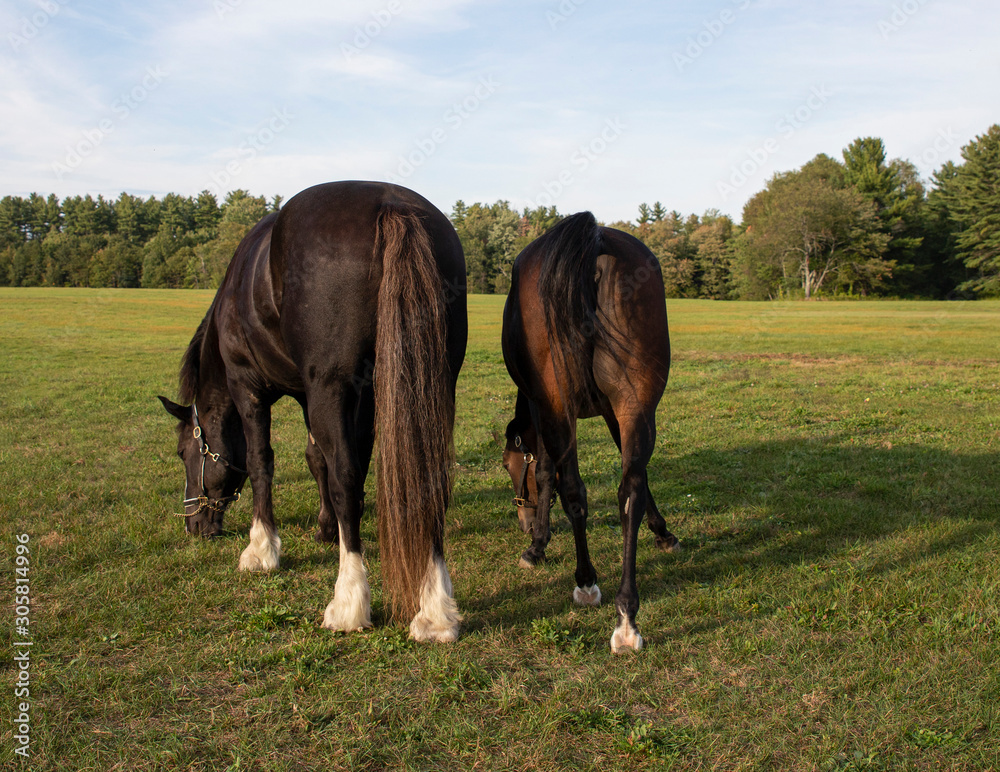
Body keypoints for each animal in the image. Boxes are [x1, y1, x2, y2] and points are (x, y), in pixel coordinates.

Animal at [158, 181, 467, 642]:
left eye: (184, 453)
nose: (193, 523)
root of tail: (392, 205)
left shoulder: (250, 387)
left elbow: (262, 462)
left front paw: (261, 548)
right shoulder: (328, 395)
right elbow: (317, 458)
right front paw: (326, 528)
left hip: (332, 387)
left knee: (346, 477)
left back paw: (349, 601)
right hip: (433, 383)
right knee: (428, 480)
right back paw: (435, 610)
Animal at [500, 211, 680, 653]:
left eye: (509, 466)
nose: (524, 521)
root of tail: (594, 240)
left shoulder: (540, 409)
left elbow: (546, 472)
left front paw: (538, 544)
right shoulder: (618, 413)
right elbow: (636, 475)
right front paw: (663, 531)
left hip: (557, 406)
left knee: (574, 490)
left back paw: (586, 581)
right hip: (634, 401)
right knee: (628, 488)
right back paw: (626, 615)